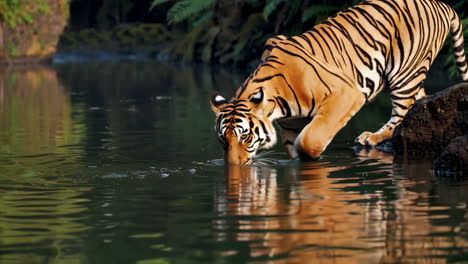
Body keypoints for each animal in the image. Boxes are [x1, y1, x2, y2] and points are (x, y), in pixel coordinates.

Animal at [211, 0, 468, 165]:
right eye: (223, 138)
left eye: (245, 136)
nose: (233, 166)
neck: (278, 104)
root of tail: (442, 4)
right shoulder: (292, 123)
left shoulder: (346, 93)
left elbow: (311, 139)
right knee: (420, 99)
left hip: (404, 71)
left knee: (401, 112)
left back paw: (373, 137)